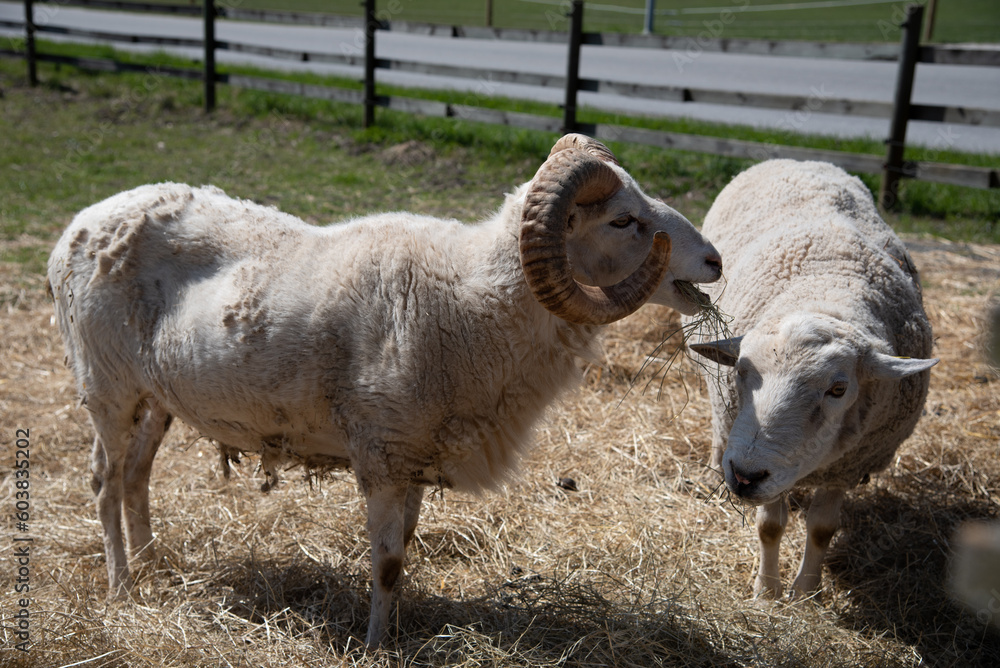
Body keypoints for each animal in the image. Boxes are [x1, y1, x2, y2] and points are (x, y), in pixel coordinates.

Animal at [47, 134, 723, 646]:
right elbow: (389, 561)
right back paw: (122, 586)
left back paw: (153, 567)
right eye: (623, 219)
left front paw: (396, 629)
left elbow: (407, 552)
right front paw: (375, 646)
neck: (472, 298)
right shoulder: (379, 452)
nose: (715, 260)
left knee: (137, 475)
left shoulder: (416, 456)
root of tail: (80, 222)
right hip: (106, 387)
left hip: (156, 397)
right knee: (106, 480)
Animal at [684, 159, 937, 599]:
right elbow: (770, 526)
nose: (745, 476)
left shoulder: (848, 465)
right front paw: (767, 592)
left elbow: (822, 528)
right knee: (718, 430)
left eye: (838, 389)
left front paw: (805, 590)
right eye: (741, 371)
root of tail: (802, 160)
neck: (826, 293)